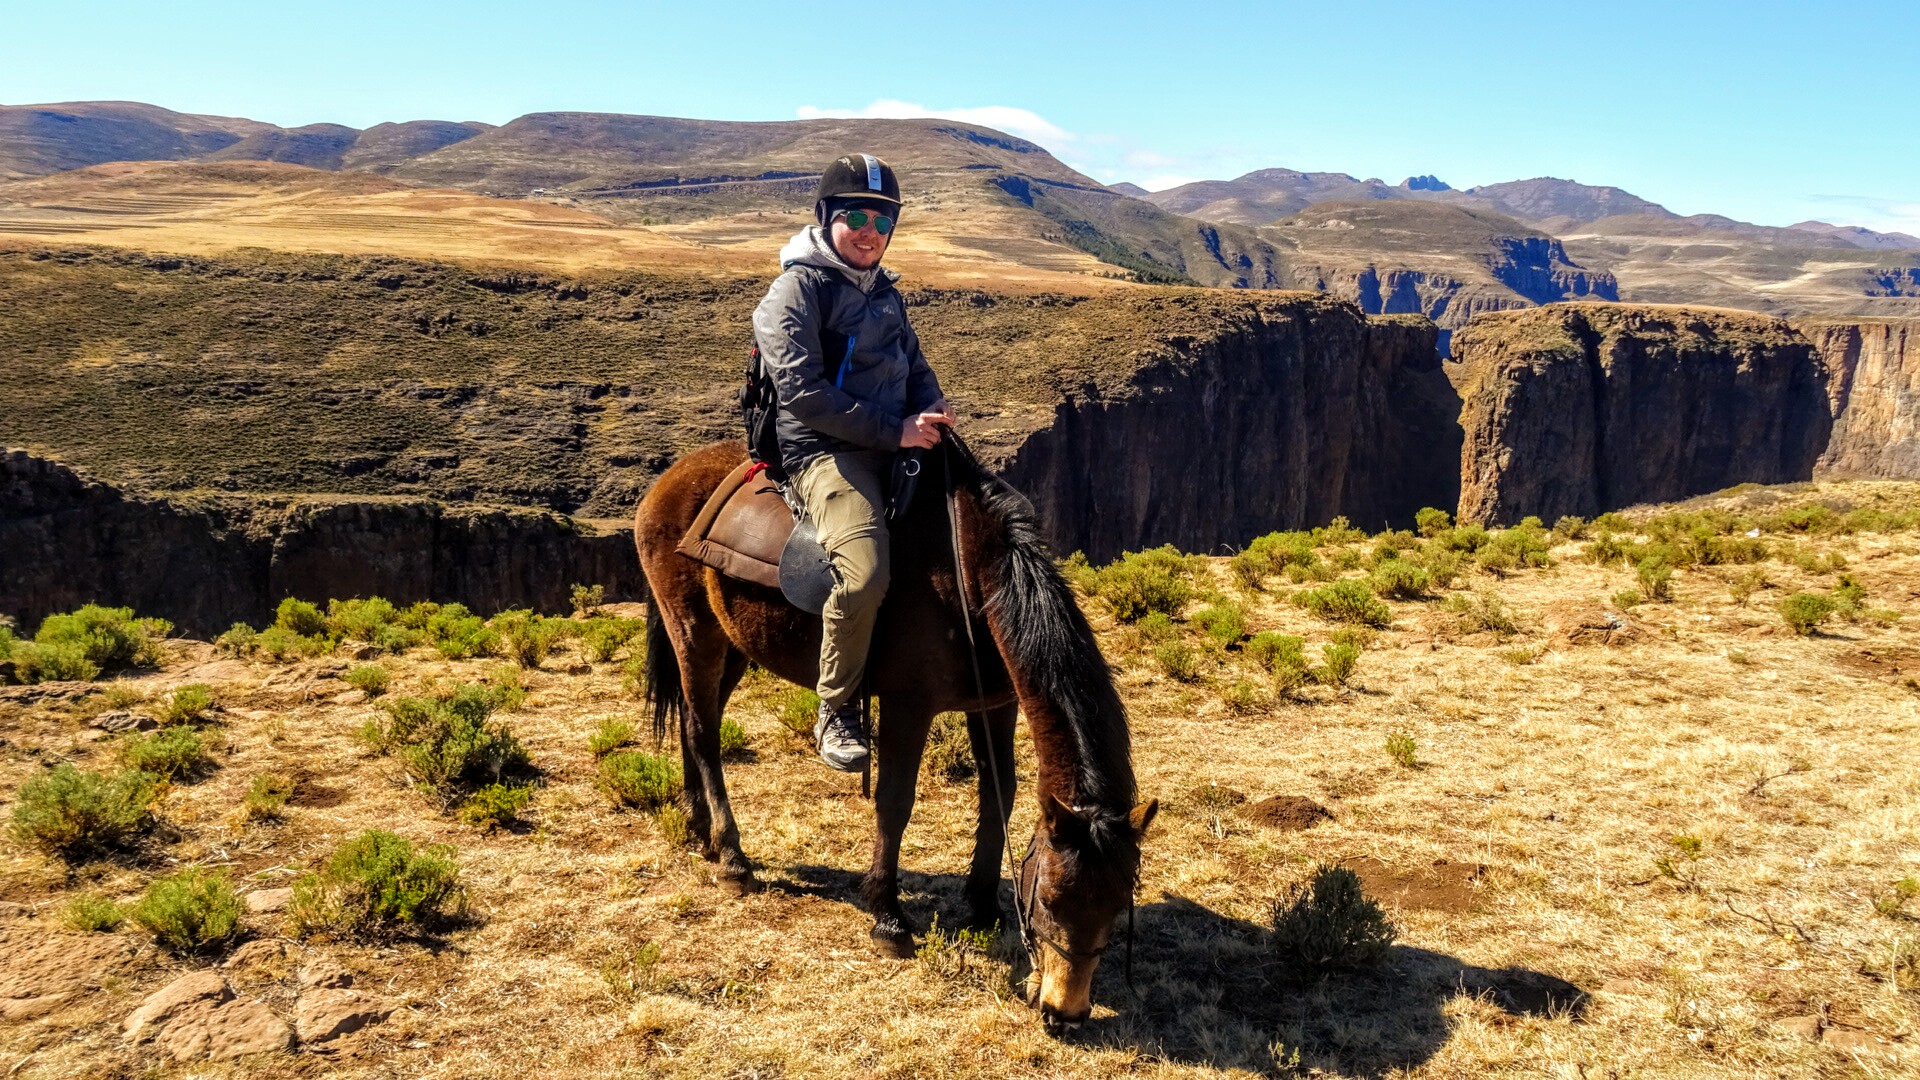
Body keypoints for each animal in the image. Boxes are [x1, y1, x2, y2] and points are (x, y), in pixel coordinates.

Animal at [637, 432, 1159, 1022]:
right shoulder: (908, 705)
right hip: (694, 633)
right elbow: (895, 800)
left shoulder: (994, 703)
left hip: (734, 646)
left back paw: (700, 830)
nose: (1063, 1012)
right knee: (704, 733)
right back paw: (731, 858)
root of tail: (669, 478)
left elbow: (998, 791)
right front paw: (887, 916)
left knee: (693, 724)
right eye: (1048, 897)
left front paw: (983, 905)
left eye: (1117, 907)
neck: (968, 575)